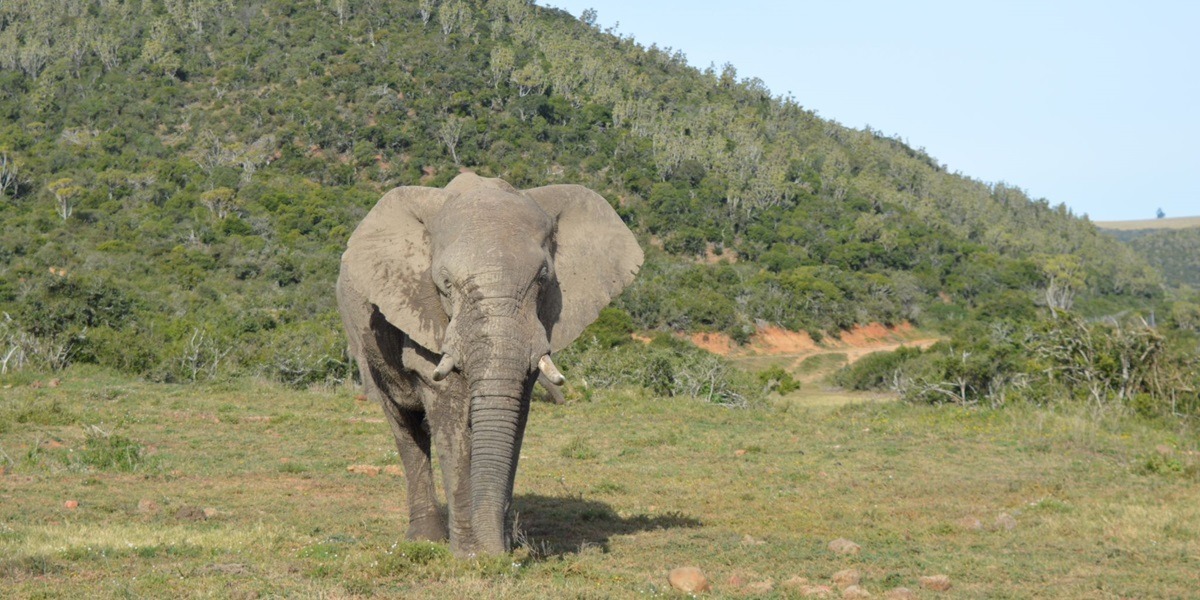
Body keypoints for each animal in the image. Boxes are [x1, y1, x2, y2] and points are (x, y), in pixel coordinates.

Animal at [333, 171, 643, 554]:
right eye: (445, 283)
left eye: (543, 278)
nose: (501, 553)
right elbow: (449, 411)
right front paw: (471, 555)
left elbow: (512, 418)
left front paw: (500, 548)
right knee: (405, 428)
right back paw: (425, 539)